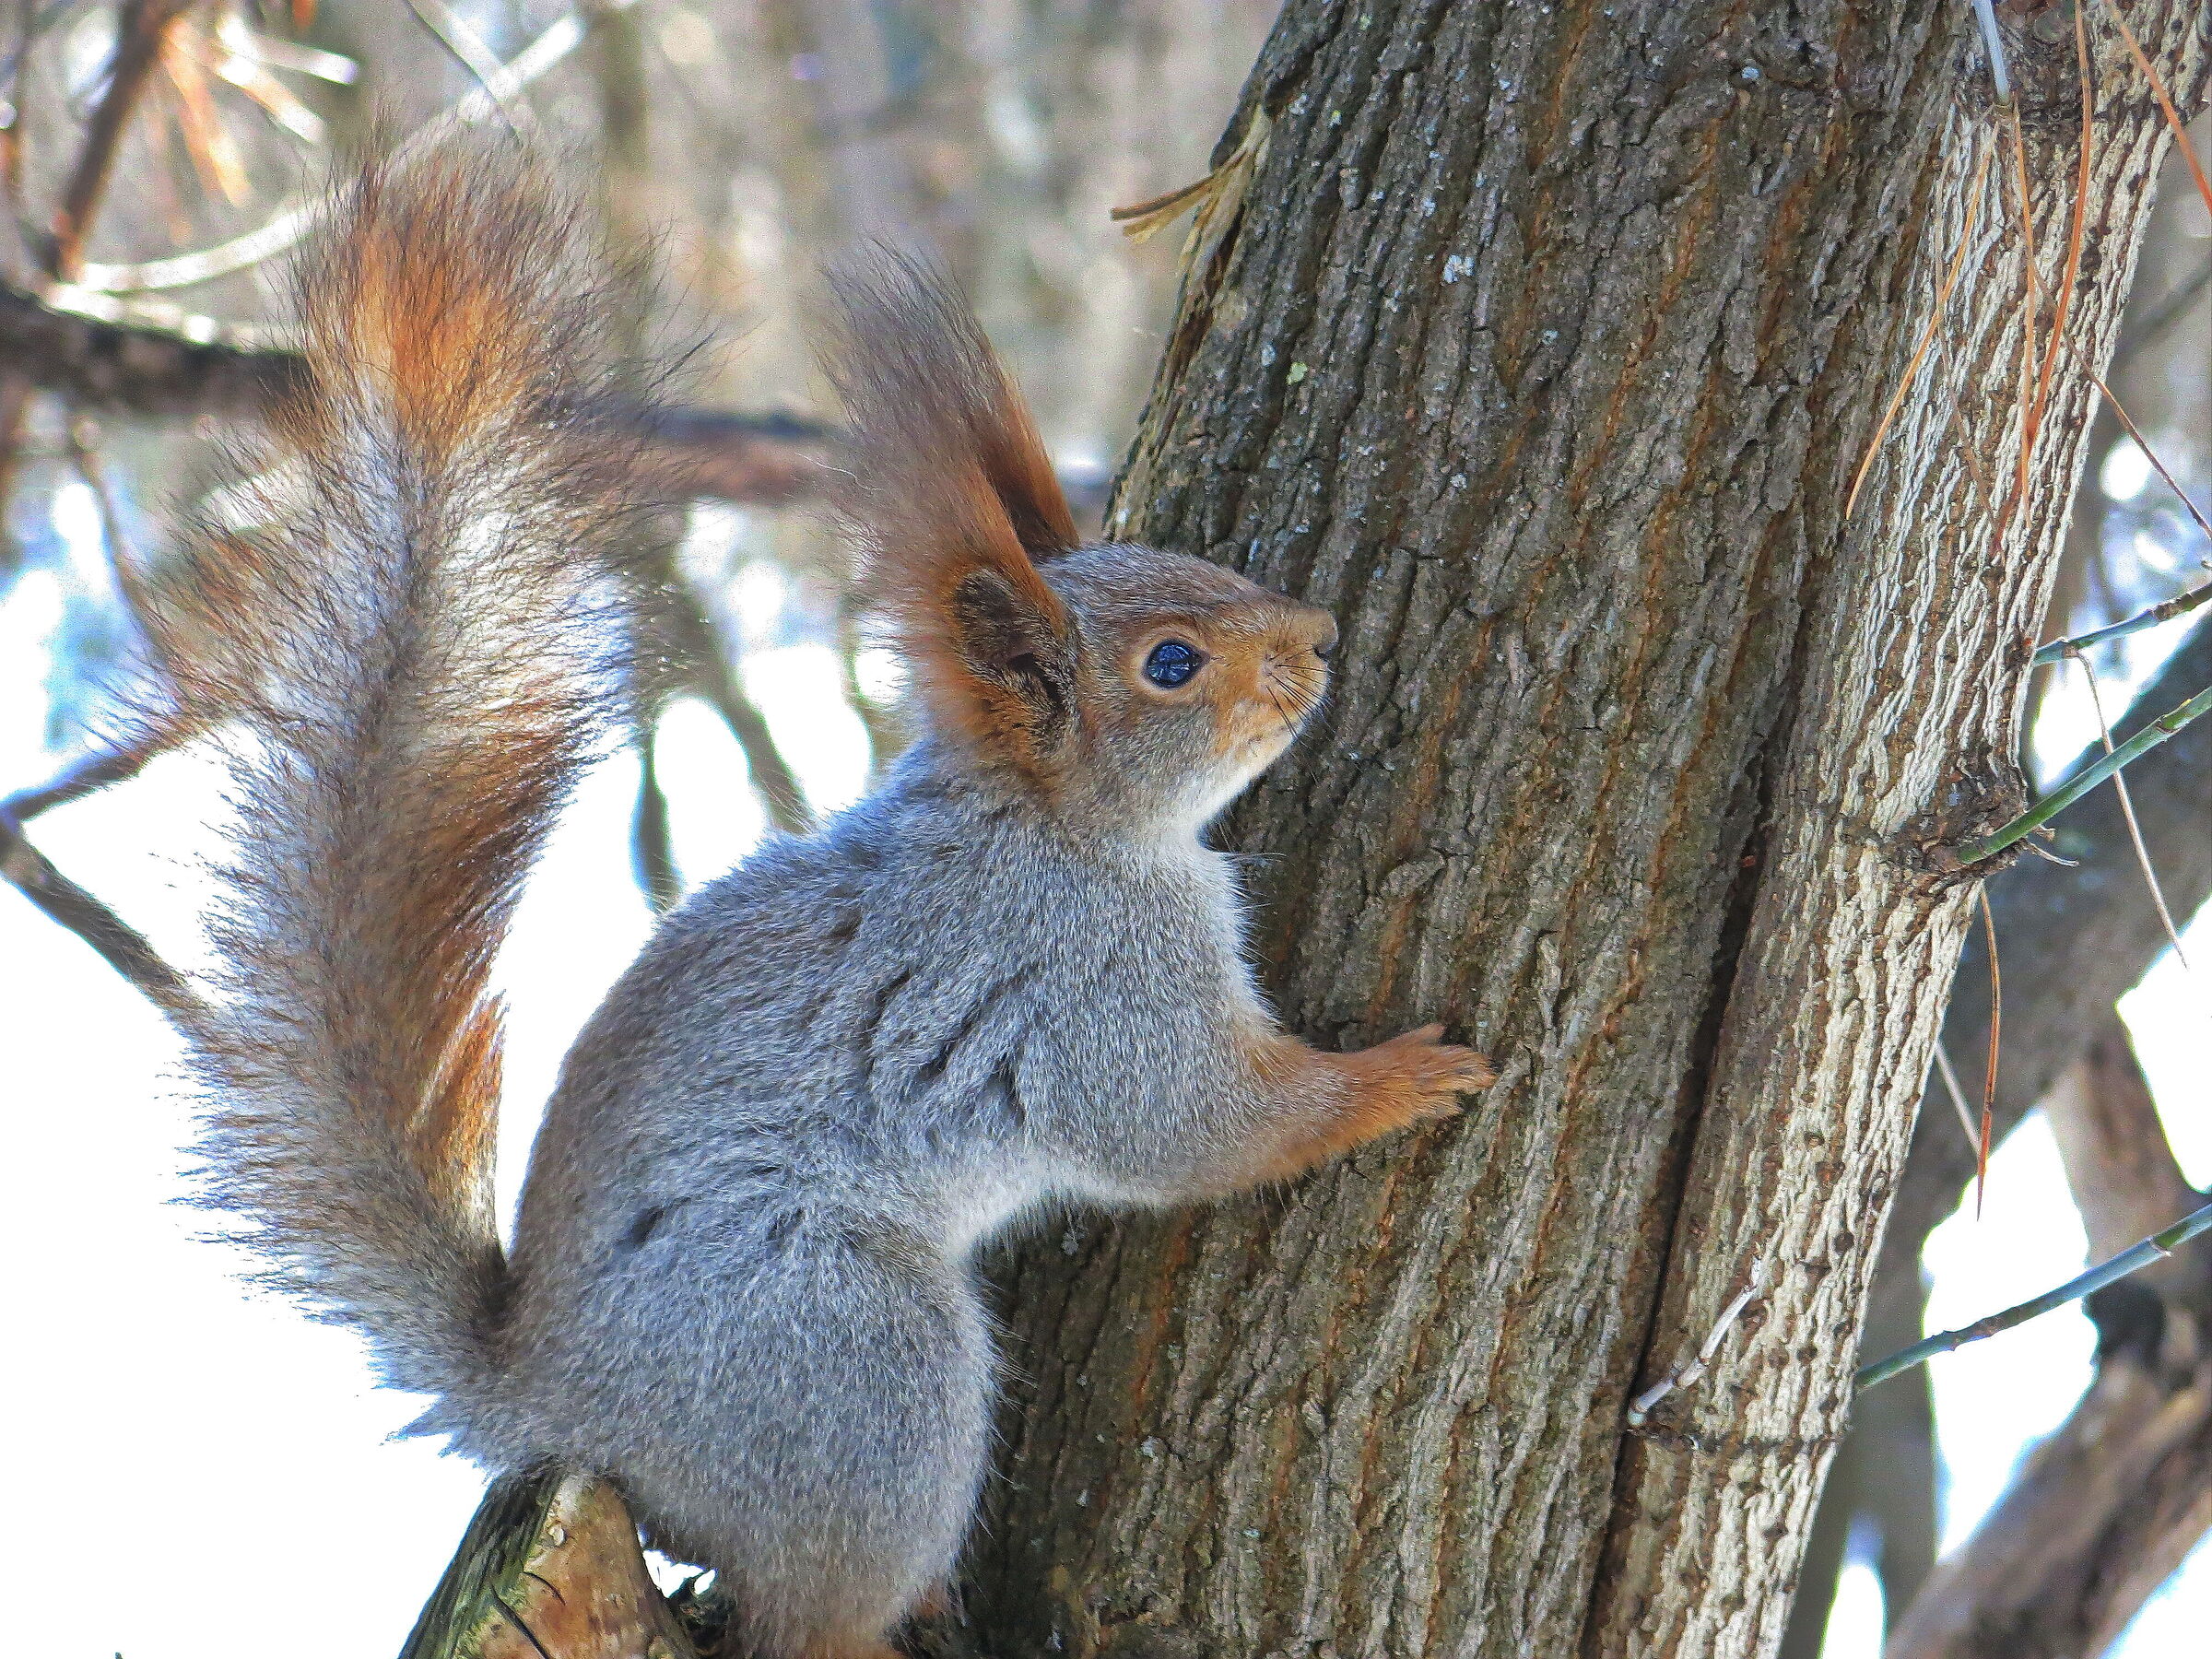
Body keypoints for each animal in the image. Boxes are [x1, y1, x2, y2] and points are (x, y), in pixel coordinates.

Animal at [160, 144, 1496, 1659]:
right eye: (1171, 662)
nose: (1322, 636)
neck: (1052, 828)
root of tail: (550, 1395)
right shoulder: (1086, 983)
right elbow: (1197, 1127)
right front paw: (1402, 1080)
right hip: (856, 1363)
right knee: (806, 1609)